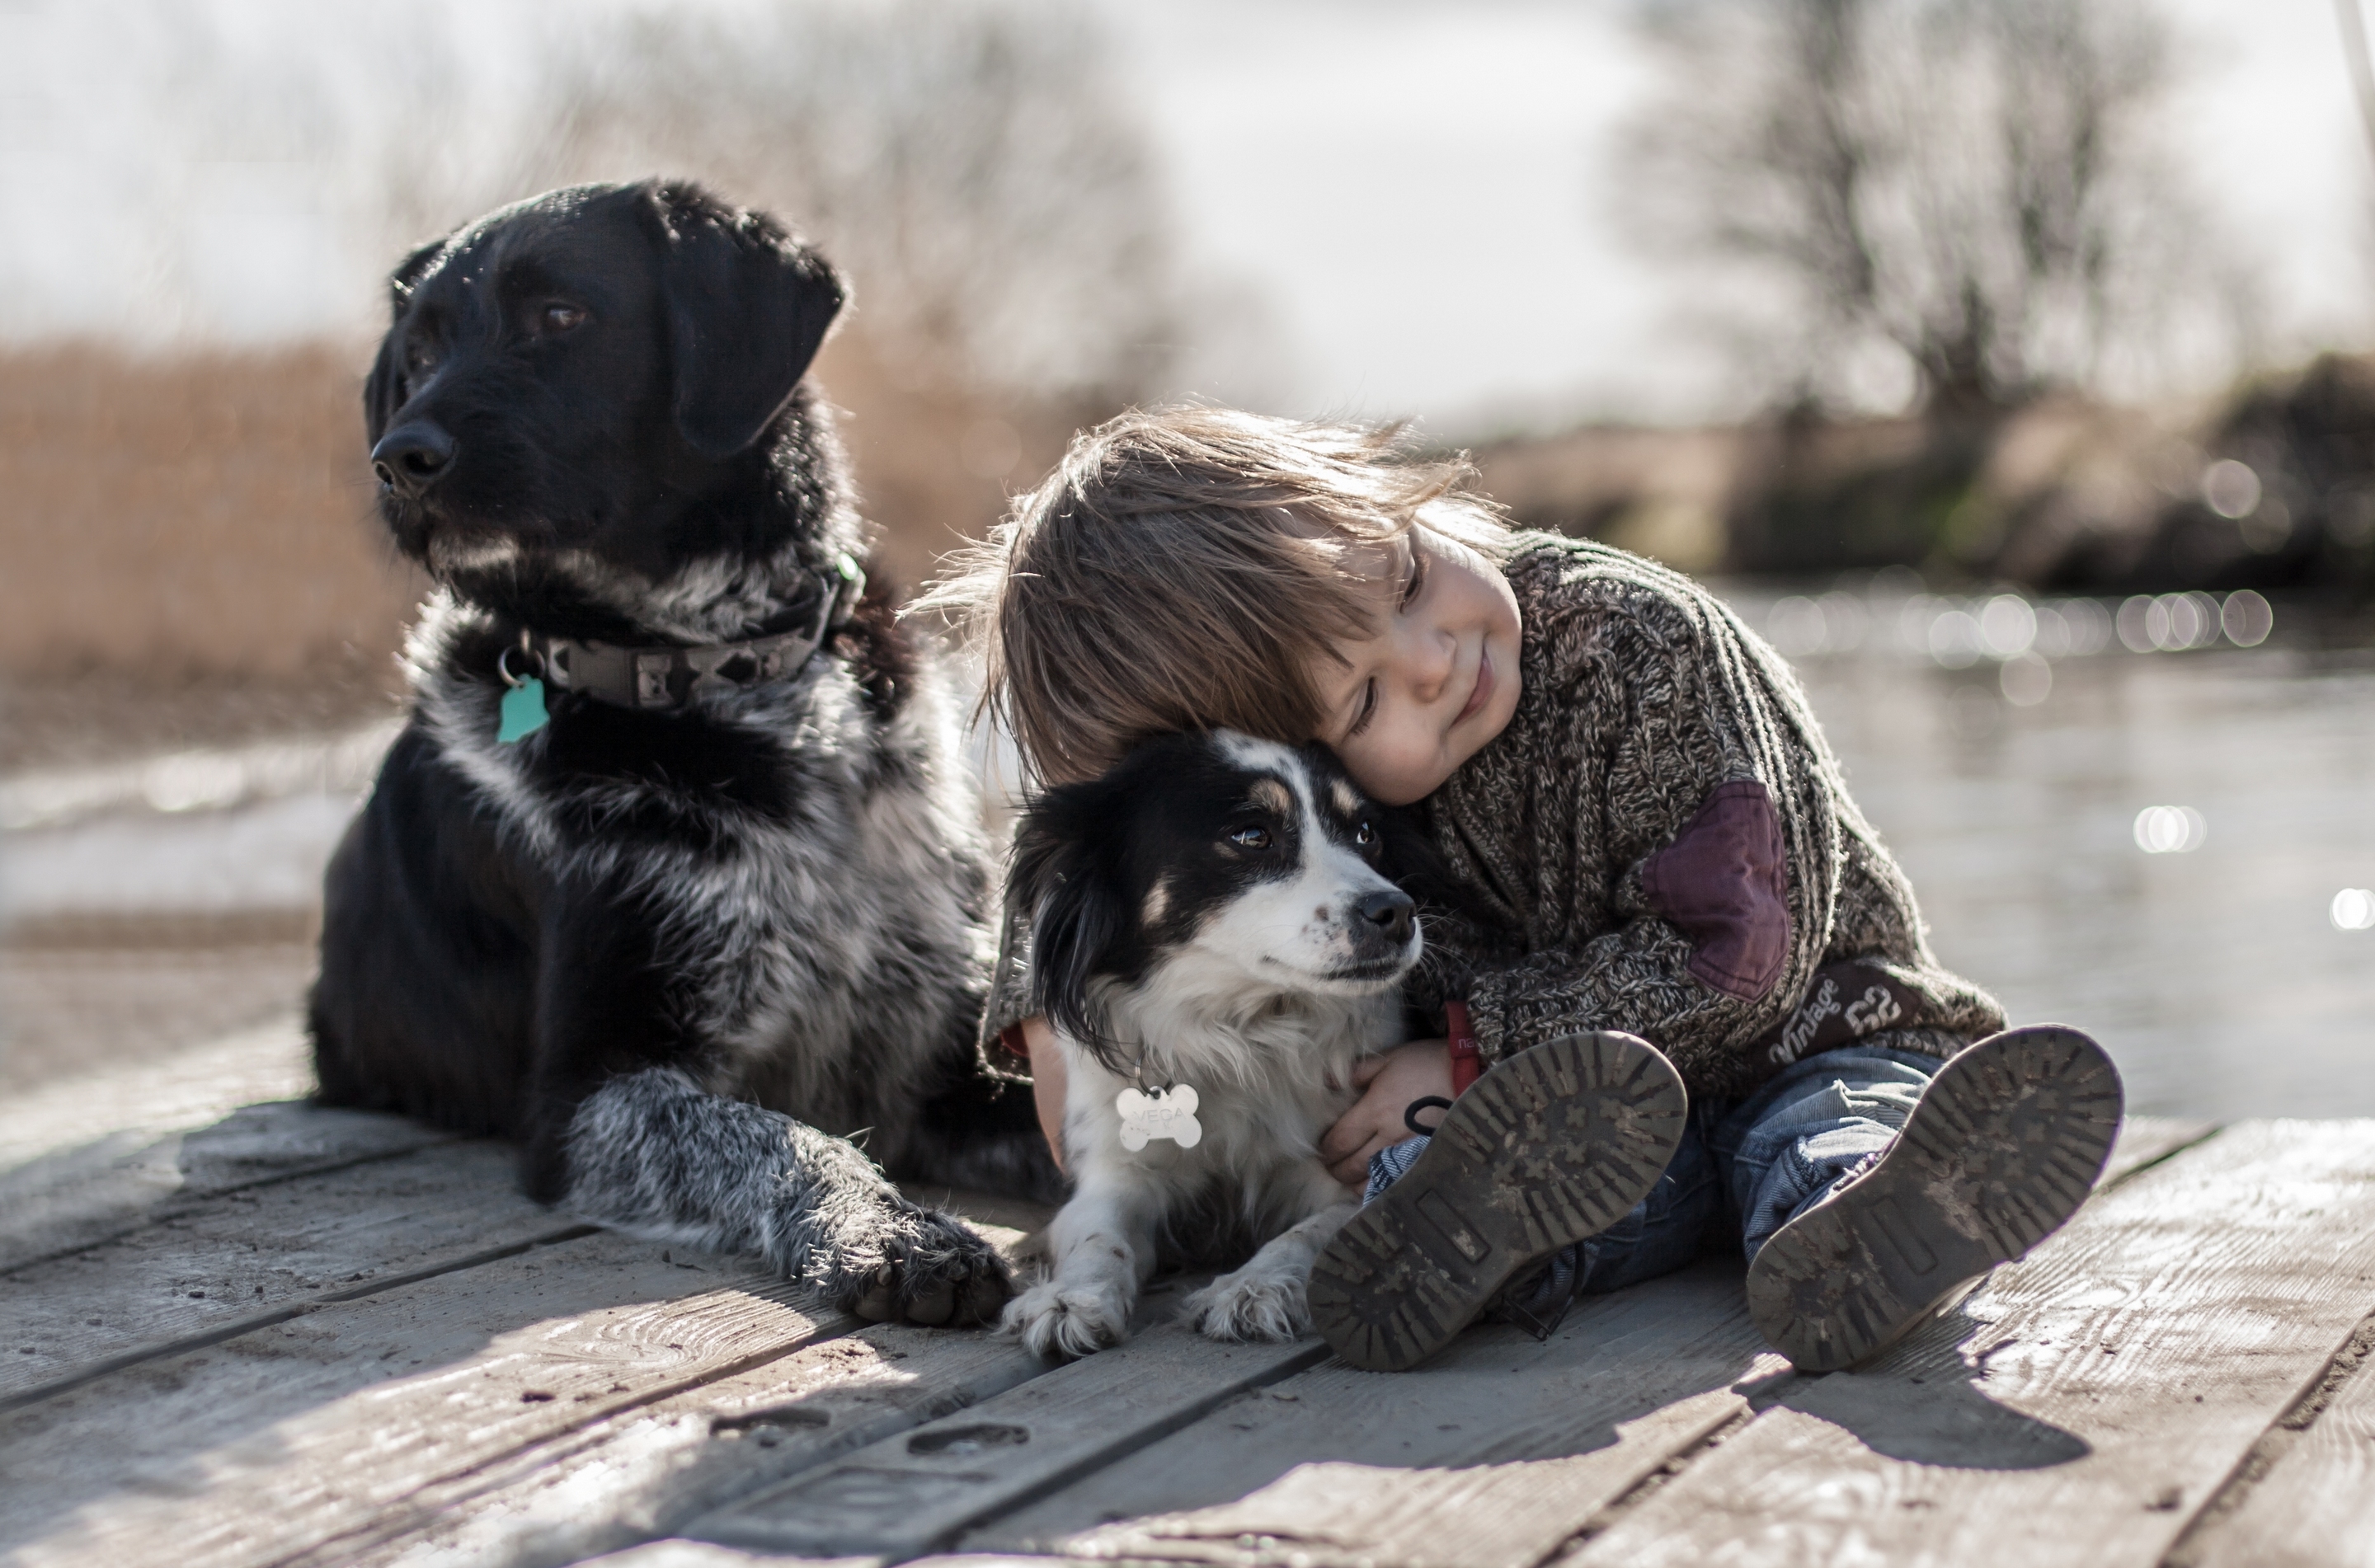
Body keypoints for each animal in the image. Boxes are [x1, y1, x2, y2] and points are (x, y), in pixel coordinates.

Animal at [313, 186, 1049, 1340]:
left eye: (561, 316)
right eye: (420, 350)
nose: (400, 457)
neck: (727, 678)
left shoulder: (938, 1050)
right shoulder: (591, 1091)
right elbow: (780, 1137)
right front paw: (893, 1235)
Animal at [992, 726, 1415, 1349]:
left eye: (1366, 834)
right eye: (1252, 835)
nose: (1398, 912)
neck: (1241, 1033)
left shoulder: (1348, 1170)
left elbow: (1312, 1234)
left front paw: (1254, 1286)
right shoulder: (1114, 1173)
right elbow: (1099, 1238)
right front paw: (1071, 1298)